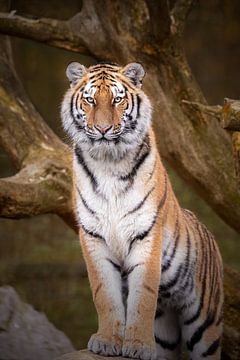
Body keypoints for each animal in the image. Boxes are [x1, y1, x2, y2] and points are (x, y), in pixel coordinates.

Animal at [61, 60, 223, 358]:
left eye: (117, 100)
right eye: (90, 100)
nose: (103, 129)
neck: (108, 161)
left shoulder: (146, 234)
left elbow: (143, 297)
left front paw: (137, 345)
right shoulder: (93, 236)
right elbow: (104, 293)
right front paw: (107, 341)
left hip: (205, 325)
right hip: (167, 332)